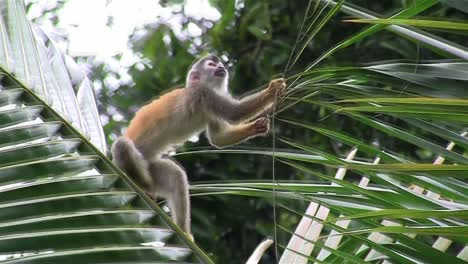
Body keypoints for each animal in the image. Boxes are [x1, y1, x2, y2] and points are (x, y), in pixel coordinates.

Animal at [112, 54, 288, 237]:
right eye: (211, 65)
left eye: (219, 64)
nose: (221, 67)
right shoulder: (203, 94)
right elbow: (235, 113)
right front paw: (272, 90)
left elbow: (217, 139)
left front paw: (256, 128)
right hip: (124, 166)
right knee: (121, 145)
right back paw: (145, 185)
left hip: (150, 165)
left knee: (176, 176)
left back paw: (183, 231)